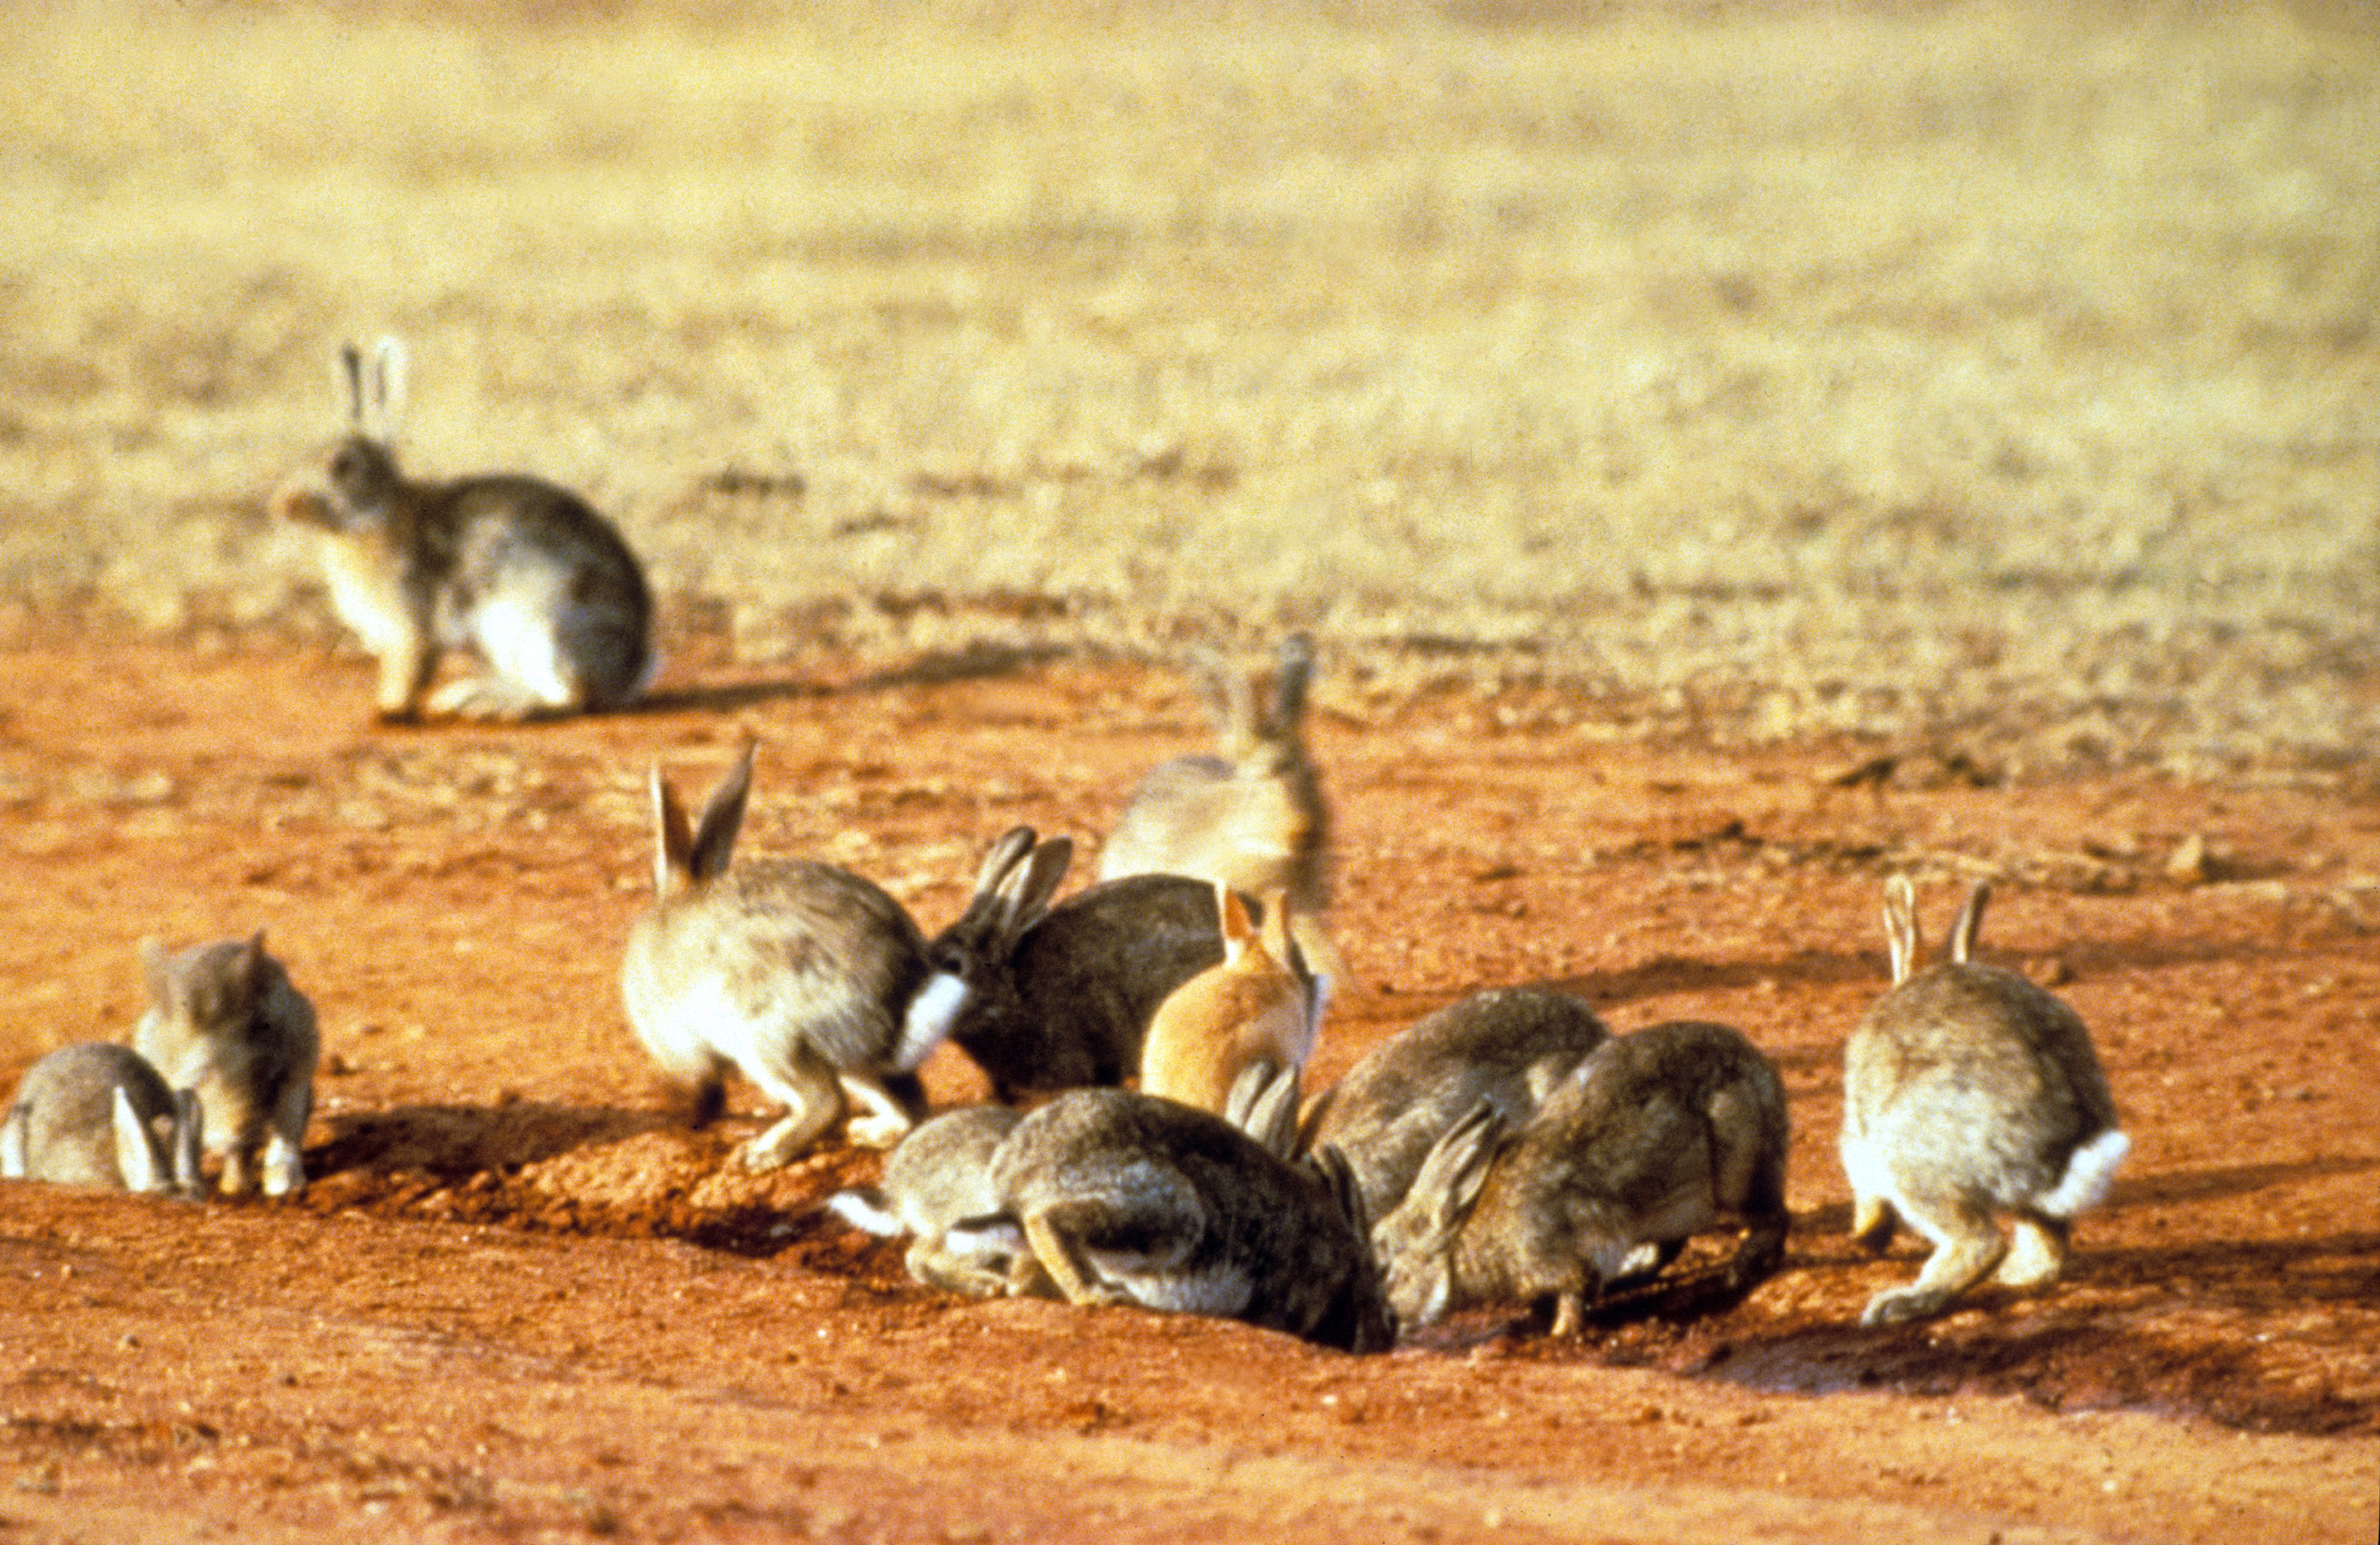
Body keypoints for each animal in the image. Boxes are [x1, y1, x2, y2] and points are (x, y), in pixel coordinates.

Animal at [270, 336, 653, 721]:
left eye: (342, 465)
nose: (282, 505)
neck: (376, 516)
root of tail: (631, 672)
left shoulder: (408, 627)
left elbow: (407, 671)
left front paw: (389, 711)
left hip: (545, 632)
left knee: (571, 698)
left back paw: (488, 703)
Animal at [619, 743, 965, 1168]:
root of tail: (900, 1004)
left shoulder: (679, 1041)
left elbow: (703, 1082)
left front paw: (697, 1113)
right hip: (849, 1062)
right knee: (909, 1106)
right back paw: (867, 1133)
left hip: (766, 1036)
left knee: (827, 1103)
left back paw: (763, 1154)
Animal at [943, 1086, 1397, 1351]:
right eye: (1380, 1280)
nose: (1386, 1337)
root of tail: (1014, 1179)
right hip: (1172, 1211)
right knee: (1048, 1220)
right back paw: (1096, 1295)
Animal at [1371, 1019, 1790, 1338]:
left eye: (1387, 1272)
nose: (1382, 1328)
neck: (1461, 1236)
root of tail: (1765, 1073)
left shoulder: (1559, 1255)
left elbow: (1574, 1292)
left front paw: (1560, 1334)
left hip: (1736, 1168)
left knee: (1773, 1217)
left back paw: (1739, 1270)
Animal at [1841, 877, 2129, 1327]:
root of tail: (2058, 1153)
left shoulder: (1857, 1135)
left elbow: (1865, 1188)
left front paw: (1866, 1235)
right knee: (2049, 1249)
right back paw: (2017, 1276)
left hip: (1911, 1157)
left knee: (1981, 1243)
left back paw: (1900, 1303)